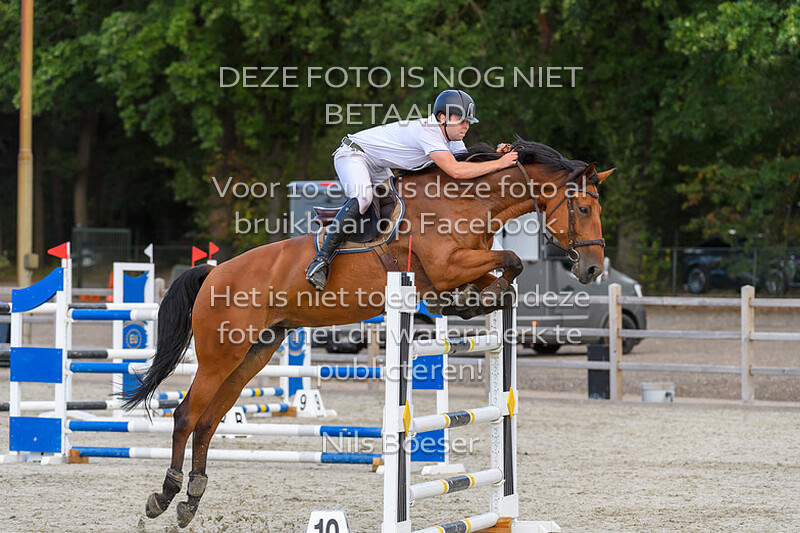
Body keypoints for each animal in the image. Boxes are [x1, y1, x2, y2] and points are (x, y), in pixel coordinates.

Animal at [123, 138, 613, 527]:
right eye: (583, 208)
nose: (591, 270)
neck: (464, 203)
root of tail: (214, 272)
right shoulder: (446, 265)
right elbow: (509, 260)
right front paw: (464, 301)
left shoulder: (464, 265)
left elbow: (502, 269)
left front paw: (474, 301)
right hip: (220, 354)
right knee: (185, 415)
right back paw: (164, 496)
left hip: (253, 354)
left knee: (208, 420)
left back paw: (191, 500)